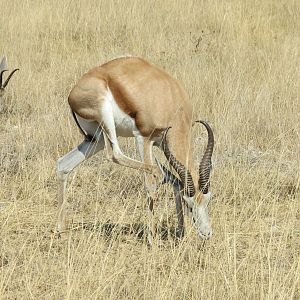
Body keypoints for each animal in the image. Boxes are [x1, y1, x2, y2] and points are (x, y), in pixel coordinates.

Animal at [56, 56, 214, 244]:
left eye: (208, 200)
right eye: (189, 206)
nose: (206, 233)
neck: (171, 100)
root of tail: (73, 92)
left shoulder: (161, 143)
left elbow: (177, 183)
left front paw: (180, 233)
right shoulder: (144, 138)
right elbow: (151, 185)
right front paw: (152, 240)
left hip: (95, 140)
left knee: (63, 165)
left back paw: (62, 232)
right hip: (105, 118)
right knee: (116, 155)